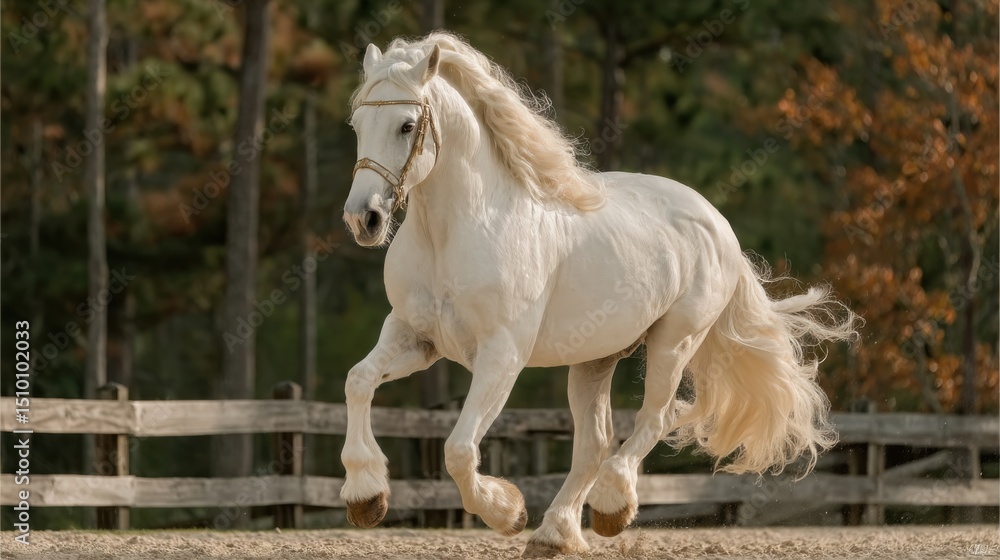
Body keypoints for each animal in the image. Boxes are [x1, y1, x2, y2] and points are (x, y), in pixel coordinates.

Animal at [339, 32, 859, 556]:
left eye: (407, 125)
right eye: (357, 123)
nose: (364, 219)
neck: (452, 234)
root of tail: (718, 221)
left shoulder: (501, 355)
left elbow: (459, 450)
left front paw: (507, 513)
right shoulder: (415, 337)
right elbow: (358, 380)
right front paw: (366, 496)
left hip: (675, 342)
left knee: (653, 419)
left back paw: (611, 508)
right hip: (594, 358)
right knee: (595, 443)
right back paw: (554, 533)